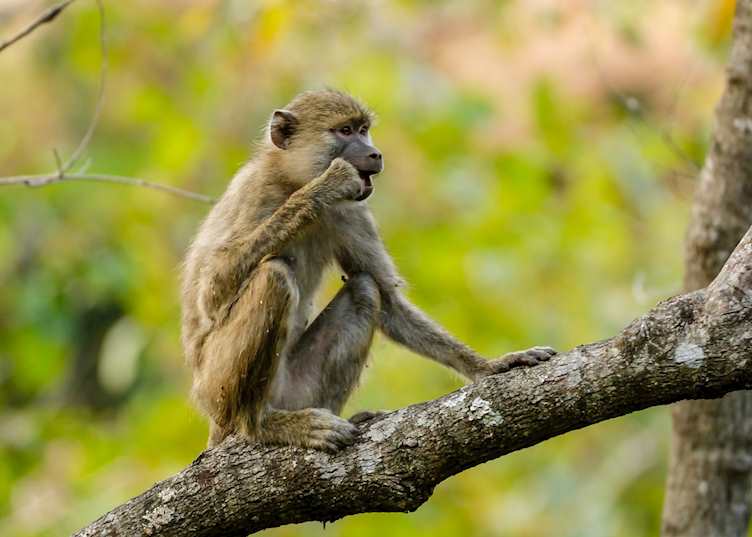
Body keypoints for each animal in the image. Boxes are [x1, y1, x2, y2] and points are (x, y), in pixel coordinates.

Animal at [181, 89, 557, 451]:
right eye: (345, 131)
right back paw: (261, 426)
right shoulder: (255, 192)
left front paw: (490, 367)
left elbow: (387, 298)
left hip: (296, 392)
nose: (375, 154)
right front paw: (324, 187)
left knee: (363, 289)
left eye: (363, 130)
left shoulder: (351, 211)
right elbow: (211, 292)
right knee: (273, 276)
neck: (292, 180)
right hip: (216, 390)